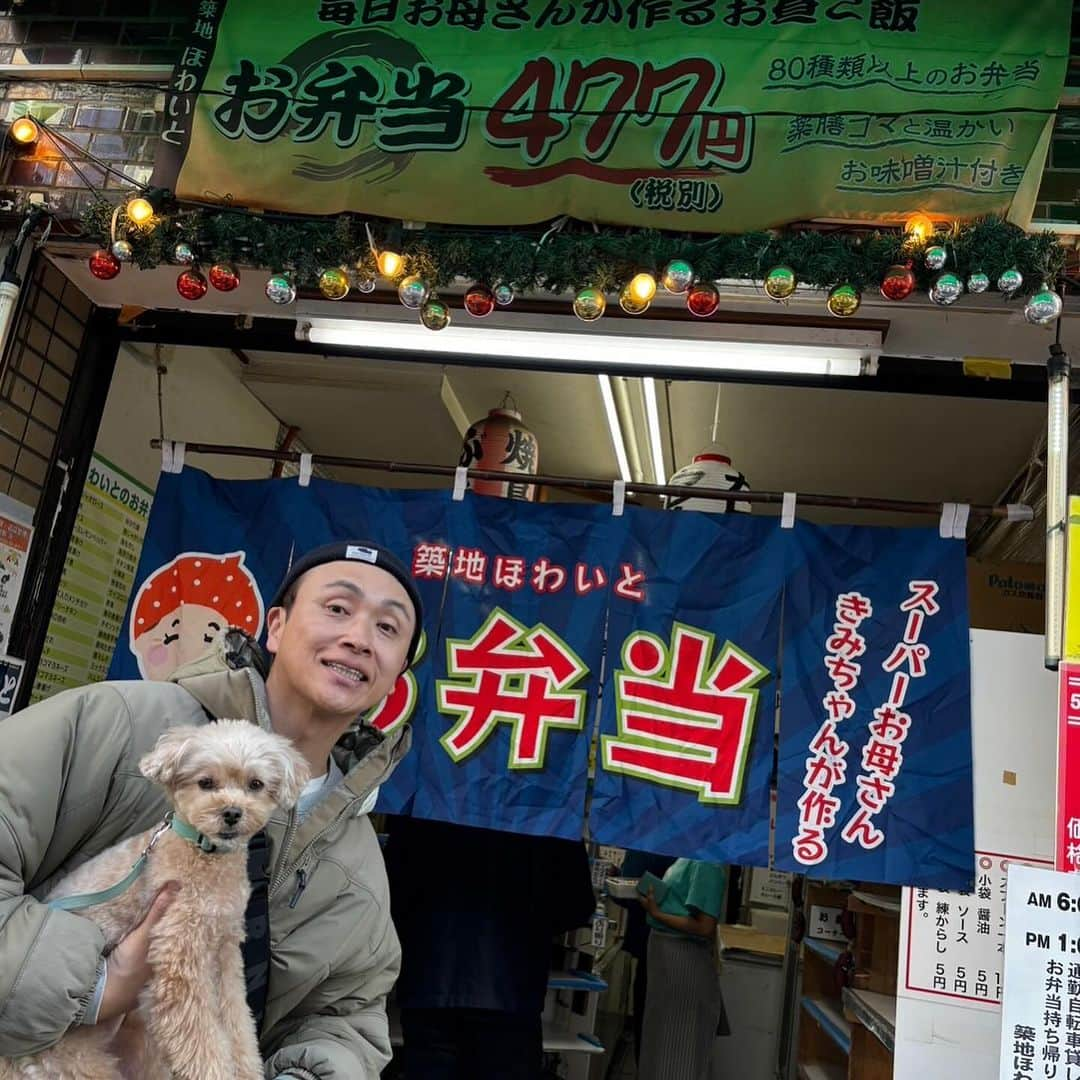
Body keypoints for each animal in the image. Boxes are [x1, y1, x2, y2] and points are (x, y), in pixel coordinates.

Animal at [0, 717, 308, 1080]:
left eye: (255, 784)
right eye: (206, 782)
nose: (232, 813)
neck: (205, 854)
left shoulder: (224, 951)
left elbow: (236, 1021)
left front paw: (246, 1069)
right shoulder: (181, 954)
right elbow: (200, 1035)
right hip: (74, 1063)